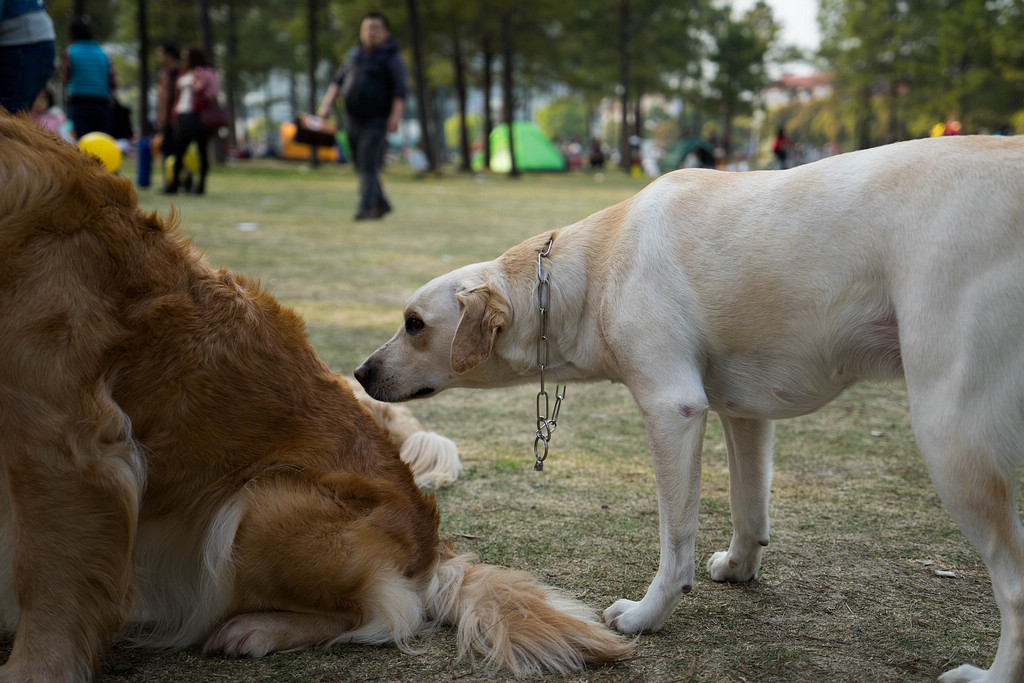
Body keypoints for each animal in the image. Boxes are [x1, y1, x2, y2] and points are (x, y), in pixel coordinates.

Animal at [0, 112, 630, 679]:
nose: (359, 371)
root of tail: (431, 549)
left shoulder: (70, 447)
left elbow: (49, 583)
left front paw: (35, 669)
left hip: (263, 501)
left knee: (377, 614)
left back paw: (253, 629)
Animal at [358, 136, 1024, 679]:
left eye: (414, 324)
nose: (361, 373)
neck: (596, 264)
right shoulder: (745, 415)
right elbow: (749, 507)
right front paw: (740, 568)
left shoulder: (672, 409)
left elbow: (673, 539)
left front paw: (647, 616)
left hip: (948, 436)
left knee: (1014, 588)